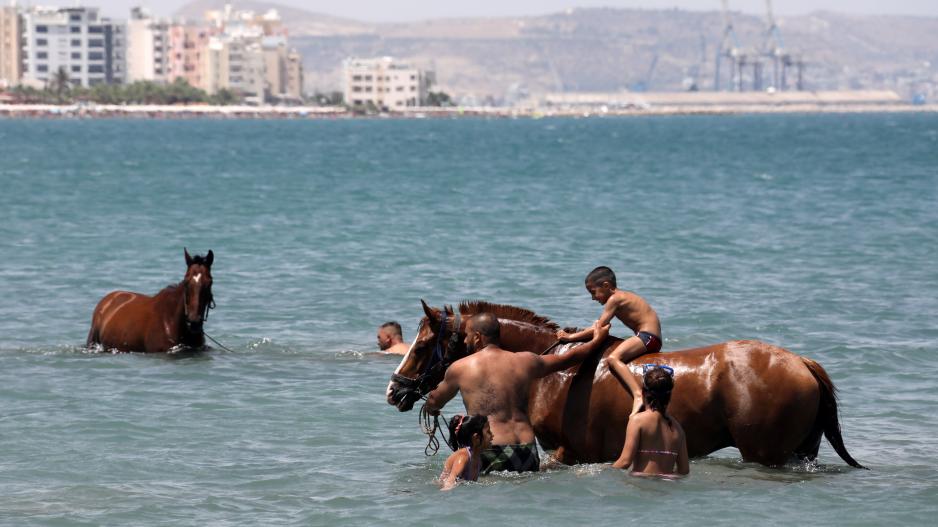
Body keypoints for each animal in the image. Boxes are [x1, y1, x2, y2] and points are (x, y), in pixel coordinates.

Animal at [388, 302, 864, 470]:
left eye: (424, 344)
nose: (395, 390)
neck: (555, 370)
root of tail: (801, 362)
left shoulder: (568, 452)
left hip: (764, 453)